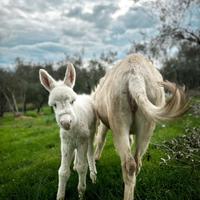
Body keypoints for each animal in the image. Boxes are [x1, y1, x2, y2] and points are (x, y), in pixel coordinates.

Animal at [39, 64, 97, 200]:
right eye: (54, 105)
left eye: (72, 101)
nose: (66, 123)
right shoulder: (66, 143)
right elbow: (63, 171)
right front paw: (60, 195)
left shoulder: (82, 141)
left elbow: (82, 166)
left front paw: (81, 192)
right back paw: (75, 164)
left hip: (91, 133)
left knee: (90, 153)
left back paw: (93, 175)